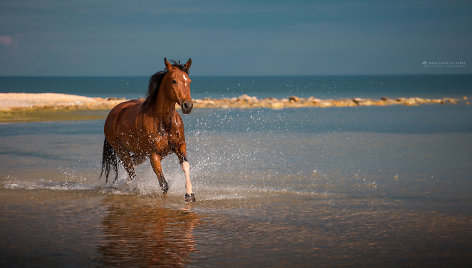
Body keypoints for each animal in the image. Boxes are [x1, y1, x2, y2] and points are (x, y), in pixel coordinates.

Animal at [99, 57, 195, 202]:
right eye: (174, 81)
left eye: (188, 81)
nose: (187, 106)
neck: (164, 122)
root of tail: (112, 113)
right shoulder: (154, 155)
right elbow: (163, 184)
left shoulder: (180, 146)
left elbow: (186, 166)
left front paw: (189, 195)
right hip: (122, 151)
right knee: (131, 172)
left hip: (141, 155)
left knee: (132, 168)